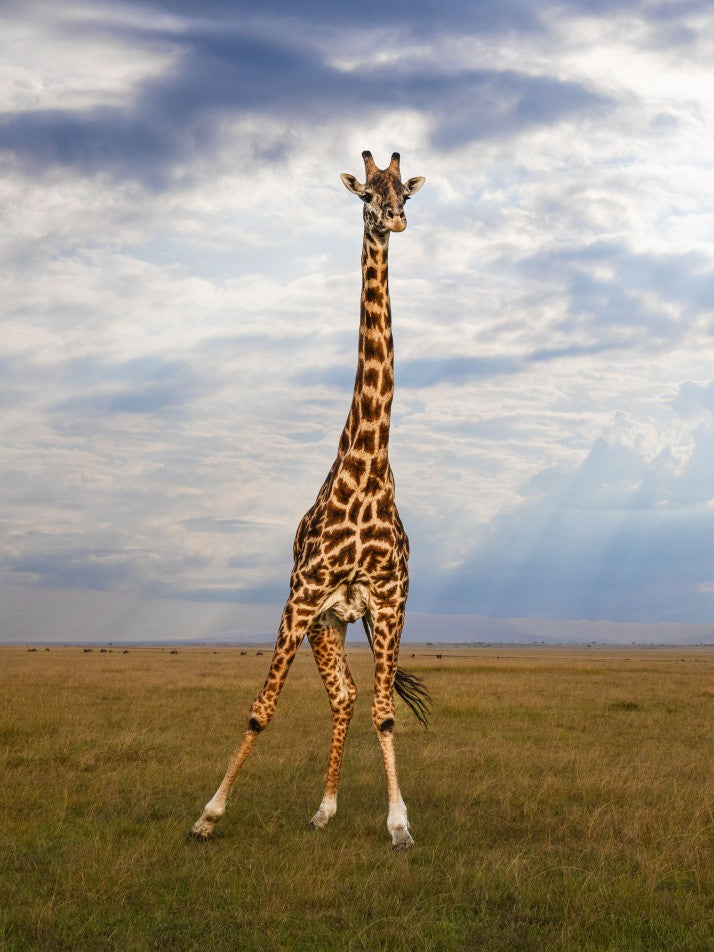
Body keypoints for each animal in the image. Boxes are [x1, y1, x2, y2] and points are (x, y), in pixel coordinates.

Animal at [190, 150, 428, 850]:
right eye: (366, 195)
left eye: (406, 192)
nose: (395, 220)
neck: (369, 471)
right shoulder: (299, 600)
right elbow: (260, 710)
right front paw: (208, 815)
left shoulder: (389, 605)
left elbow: (384, 713)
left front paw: (399, 825)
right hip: (323, 621)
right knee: (337, 696)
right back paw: (318, 806)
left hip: (342, 623)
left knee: (349, 697)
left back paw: (326, 807)